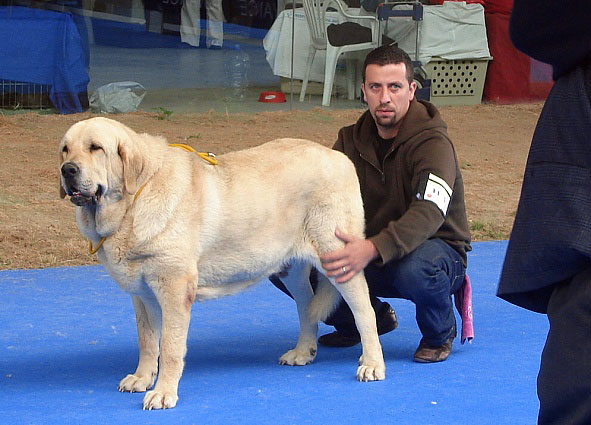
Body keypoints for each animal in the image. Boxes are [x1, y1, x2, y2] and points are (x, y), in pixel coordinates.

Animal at [57, 116, 386, 408]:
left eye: (96, 147)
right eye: (65, 149)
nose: (67, 169)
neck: (135, 197)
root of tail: (338, 156)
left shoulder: (174, 291)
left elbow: (171, 348)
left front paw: (163, 393)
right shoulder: (142, 295)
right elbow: (148, 342)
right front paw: (141, 378)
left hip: (337, 259)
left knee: (364, 312)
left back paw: (372, 364)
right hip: (290, 270)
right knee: (307, 309)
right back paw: (302, 352)